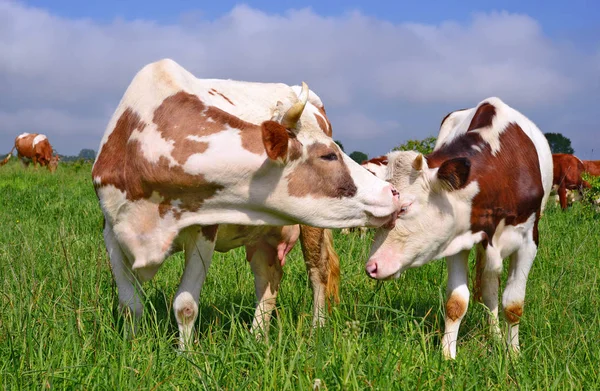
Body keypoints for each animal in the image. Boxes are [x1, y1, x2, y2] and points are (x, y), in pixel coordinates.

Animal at [94, 59, 400, 350]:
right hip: (264, 232)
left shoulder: (205, 228)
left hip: (311, 227)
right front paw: (132, 348)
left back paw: (316, 328)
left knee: (318, 272)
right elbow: (130, 305)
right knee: (269, 278)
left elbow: (185, 306)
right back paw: (257, 338)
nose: (393, 192)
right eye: (328, 155)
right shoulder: (111, 231)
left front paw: (186, 356)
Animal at [364, 97, 552, 358]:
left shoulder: (528, 242)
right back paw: (493, 335)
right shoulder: (455, 240)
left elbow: (513, 305)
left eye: (404, 207)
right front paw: (447, 355)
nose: (371, 266)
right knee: (489, 287)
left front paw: (513, 354)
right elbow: (456, 301)